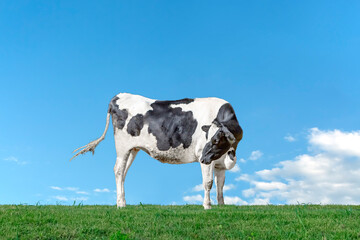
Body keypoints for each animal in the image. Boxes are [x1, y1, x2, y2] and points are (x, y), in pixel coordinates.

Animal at [71, 93, 243, 209]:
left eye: (215, 140)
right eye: (208, 137)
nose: (202, 158)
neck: (230, 154)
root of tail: (119, 95)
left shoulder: (219, 163)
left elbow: (221, 185)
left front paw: (221, 206)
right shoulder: (207, 159)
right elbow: (208, 182)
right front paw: (207, 206)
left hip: (133, 149)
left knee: (123, 172)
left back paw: (121, 200)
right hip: (122, 147)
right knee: (118, 170)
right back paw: (121, 204)